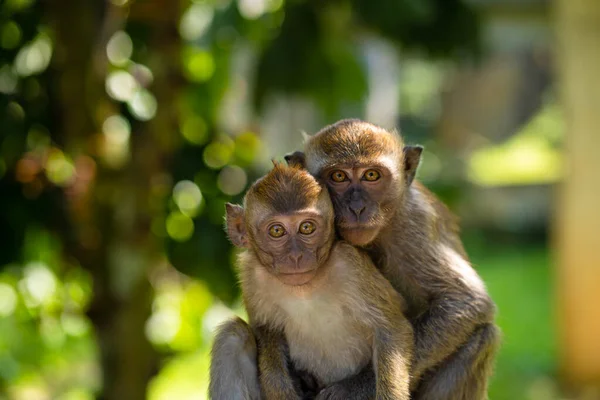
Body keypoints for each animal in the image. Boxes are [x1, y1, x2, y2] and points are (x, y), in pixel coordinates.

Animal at [209, 163, 414, 400]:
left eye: (306, 228)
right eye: (277, 231)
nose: (296, 256)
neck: (304, 289)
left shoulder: (351, 266)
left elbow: (391, 329)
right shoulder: (252, 275)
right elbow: (265, 329)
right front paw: (279, 388)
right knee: (232, 334)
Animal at [284, 119, 500, 400]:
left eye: (371, 175)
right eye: (338, 176)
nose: (357, 208)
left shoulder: (415, 223)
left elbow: (465, 300)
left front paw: (353, 388)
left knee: (483, 335)